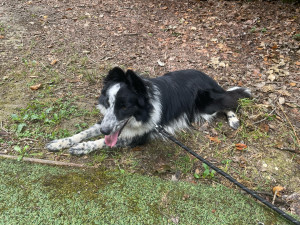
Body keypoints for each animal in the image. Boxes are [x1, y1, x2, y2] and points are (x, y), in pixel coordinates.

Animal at [45, 67, 250, 155]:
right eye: (108, 103)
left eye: (124, 107)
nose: (104, 131)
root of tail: (210, 79)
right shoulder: (105, 122)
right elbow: (85, 132)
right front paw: (61, 142)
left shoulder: (137, 138)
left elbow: (102, 142)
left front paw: (83, 147)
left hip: (206, 104)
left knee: (231, 100)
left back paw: (233, 119)